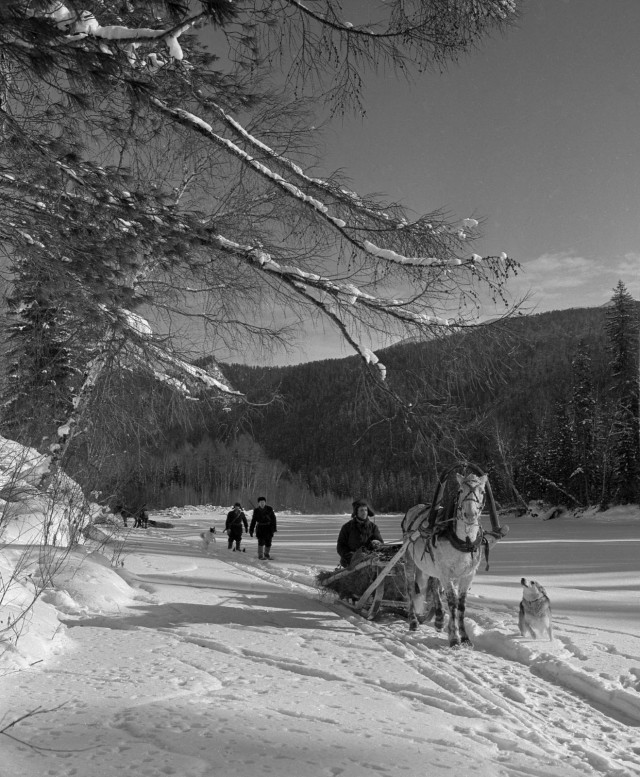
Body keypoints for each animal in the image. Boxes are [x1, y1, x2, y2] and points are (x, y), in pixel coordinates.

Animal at [400, 470, 496, 644]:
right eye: (460, 491)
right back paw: (413, 621)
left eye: (482, 491)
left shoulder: (468, 575)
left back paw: (438, 619)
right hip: (410, 559)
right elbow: (452, 602)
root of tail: (415, 508)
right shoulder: (446, 573)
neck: (464, 541)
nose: (470, 515)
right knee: (410, 588)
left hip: (432, 566)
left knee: (432, 584)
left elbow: (461, 604)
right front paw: (454, 638)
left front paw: (464, 637)